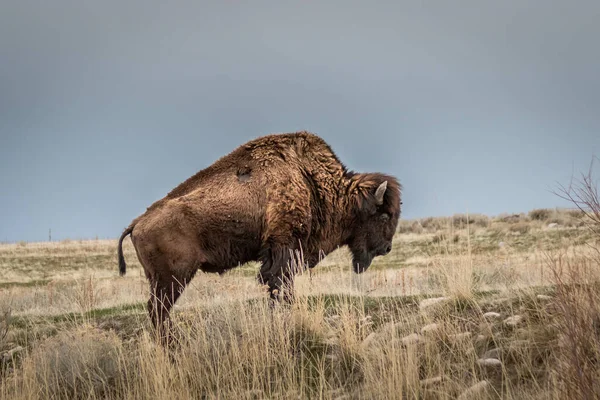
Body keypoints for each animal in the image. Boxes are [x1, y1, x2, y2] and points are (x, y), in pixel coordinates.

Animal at [116, 133, 400, 340]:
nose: (386, 248)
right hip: (173, 278)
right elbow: (281, 288)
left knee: (157, 311)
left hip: (159, 279)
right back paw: (173, 344)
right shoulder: (283, 251)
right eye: (384, 215)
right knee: (158, 311)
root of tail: (137, 223)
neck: (310, 181)